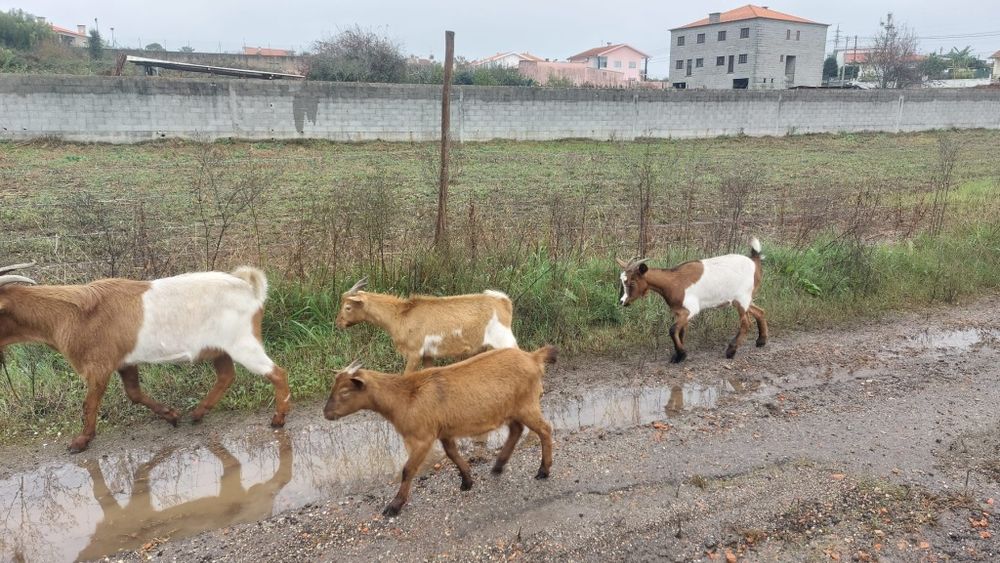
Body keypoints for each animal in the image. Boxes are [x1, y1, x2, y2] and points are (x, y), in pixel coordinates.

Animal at [0, 263, 290, 453]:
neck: (71, 314)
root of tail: (249, 288)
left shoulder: (99, 366)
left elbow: (89, 403)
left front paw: (81, 441)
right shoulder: (125, 362)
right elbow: (134, 394)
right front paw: (171, 415)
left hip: (243, 343)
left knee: (277, 373)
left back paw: (278, 419)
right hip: (220, 349)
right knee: (226, 376)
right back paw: (197, 413)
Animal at [324, 345, 557, 516]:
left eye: (345, 391)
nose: (326, 413)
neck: (404, 396)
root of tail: (533, 357)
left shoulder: (422, 437)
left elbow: (408, 469)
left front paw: (394, 506)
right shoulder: (444, 431)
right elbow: (452, 454)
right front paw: (467, 481)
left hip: (527, 404)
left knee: (545, 429)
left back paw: (543, 471)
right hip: (511, 408)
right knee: (516, 430)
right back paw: (498, 465)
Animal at [335, 277, 518, 373]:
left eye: (348, 307)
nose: (339, 323)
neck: (400, 315)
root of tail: (504, 303)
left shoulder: (414, 353)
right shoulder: (428, 355)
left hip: (503, 340)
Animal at [617, 238, 768, 362]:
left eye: (631, 283)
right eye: (622, 281)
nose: (622, 302)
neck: (674, 281)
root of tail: (754, 262)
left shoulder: (691, 309)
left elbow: (672, 330)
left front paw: (681, 354)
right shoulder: (679, 312)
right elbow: (680, 332)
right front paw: (678, 355)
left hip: (742, 298)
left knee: (746, 323)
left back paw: (731, 351)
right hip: (744, 299)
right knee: (760, 311)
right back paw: (761, 341)